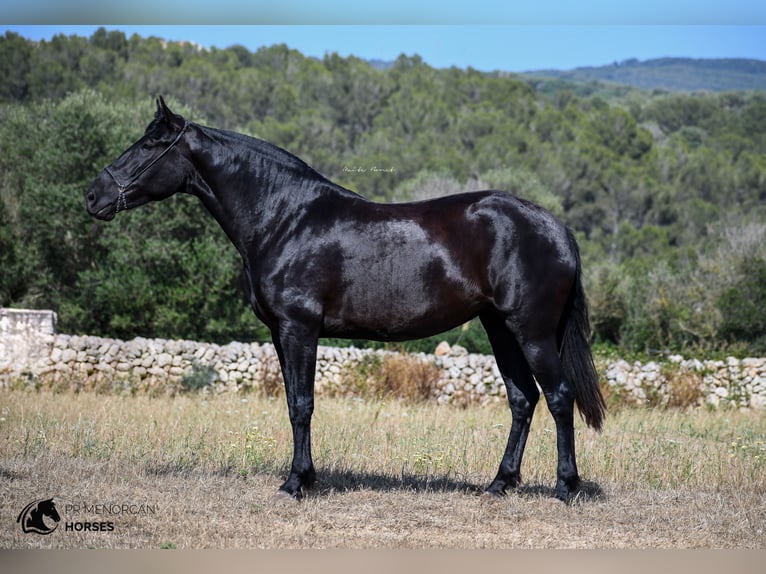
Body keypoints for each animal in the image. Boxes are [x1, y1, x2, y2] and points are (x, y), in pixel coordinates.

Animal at [87, 98, 608, 504]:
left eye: (150, 145)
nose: (93, 195)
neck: (286, 218)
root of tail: (557, 229)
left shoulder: (299, 328)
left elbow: (302, 404)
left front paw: (295, 483)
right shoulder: (280, 332)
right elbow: (293, 402)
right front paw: (305, 477)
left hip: (531, 331)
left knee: (559, 397)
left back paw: (566, 488)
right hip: (499, 328)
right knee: (523, 399)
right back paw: (500, 483)